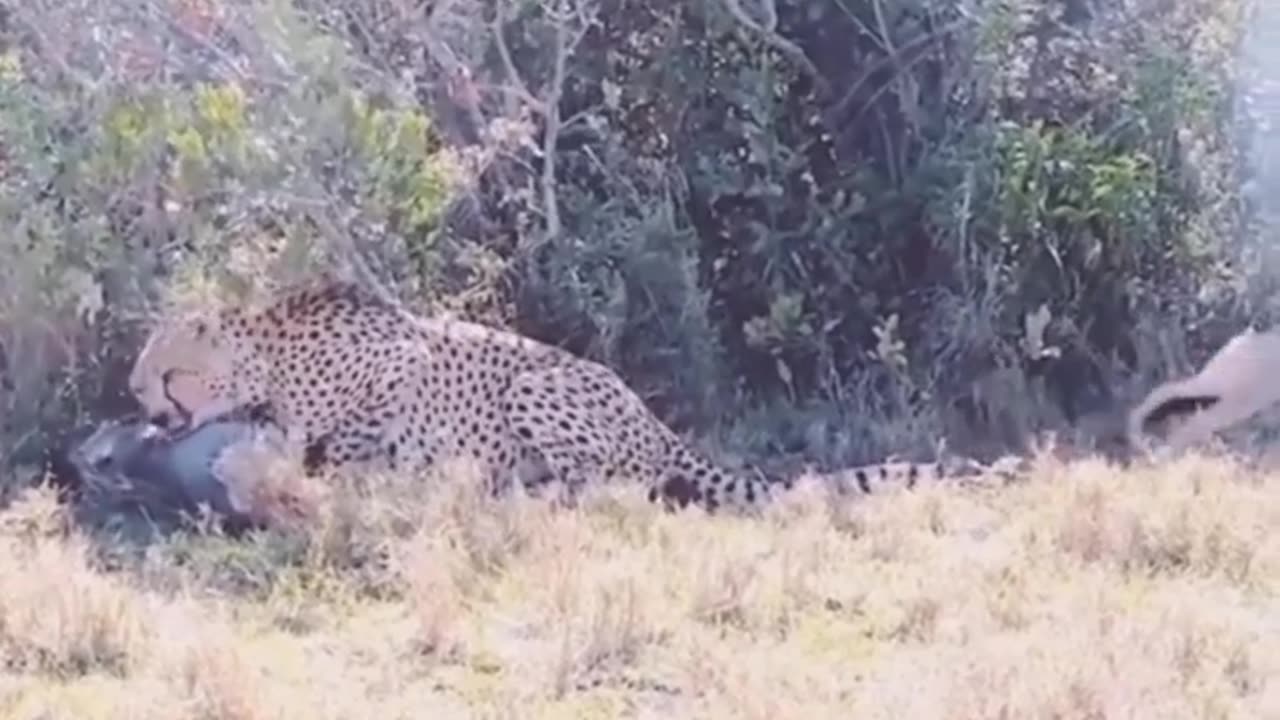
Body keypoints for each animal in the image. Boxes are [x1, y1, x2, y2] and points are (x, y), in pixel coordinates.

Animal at [128, 277, 1005, 514]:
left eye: (161, 369)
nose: (138, 399)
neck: (266, 356)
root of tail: (657, 423)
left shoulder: (401, 364)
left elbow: (343, 434)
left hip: (537, 382)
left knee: (620, 488)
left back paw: (529, 493)